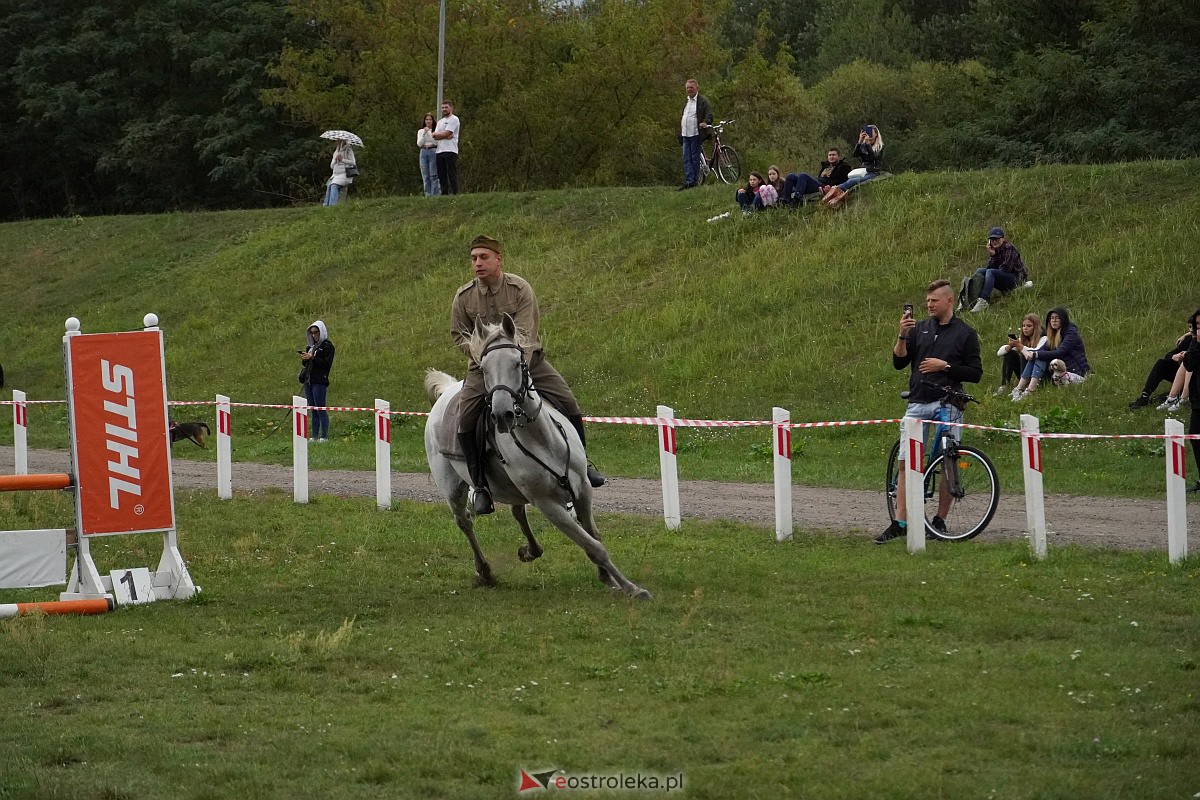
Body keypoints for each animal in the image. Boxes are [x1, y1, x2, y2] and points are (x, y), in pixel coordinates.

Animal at [422, 316, 648, 597]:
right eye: (484, 369)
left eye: (517, 362)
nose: (502, 415)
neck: (542, 441)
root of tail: (447, 392)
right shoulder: (548, 504)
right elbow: (593, 546)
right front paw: (631, 588)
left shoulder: (583, 489)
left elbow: (593, 535)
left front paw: (608, 578)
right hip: (453, 489)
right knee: (465, 522)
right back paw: (485, 571)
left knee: (517, 512)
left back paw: (530, 550)